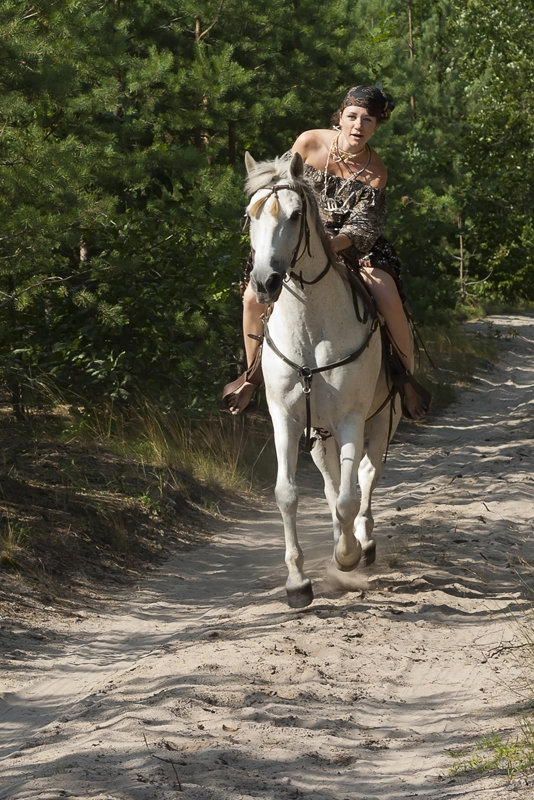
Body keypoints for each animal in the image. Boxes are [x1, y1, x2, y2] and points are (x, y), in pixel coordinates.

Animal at [245, 152, 400, 608]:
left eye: (296, 215)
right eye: (250, 215)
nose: (264, 282)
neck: (311, 327)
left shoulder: (352, 418)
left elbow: (350, 497)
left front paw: (346, 556)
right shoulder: (286, 418)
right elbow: (289, 493)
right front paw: (297, 582)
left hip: (381, 423)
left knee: (365, 476)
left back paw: (362, 545)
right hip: (320, 434)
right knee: (335, 485)